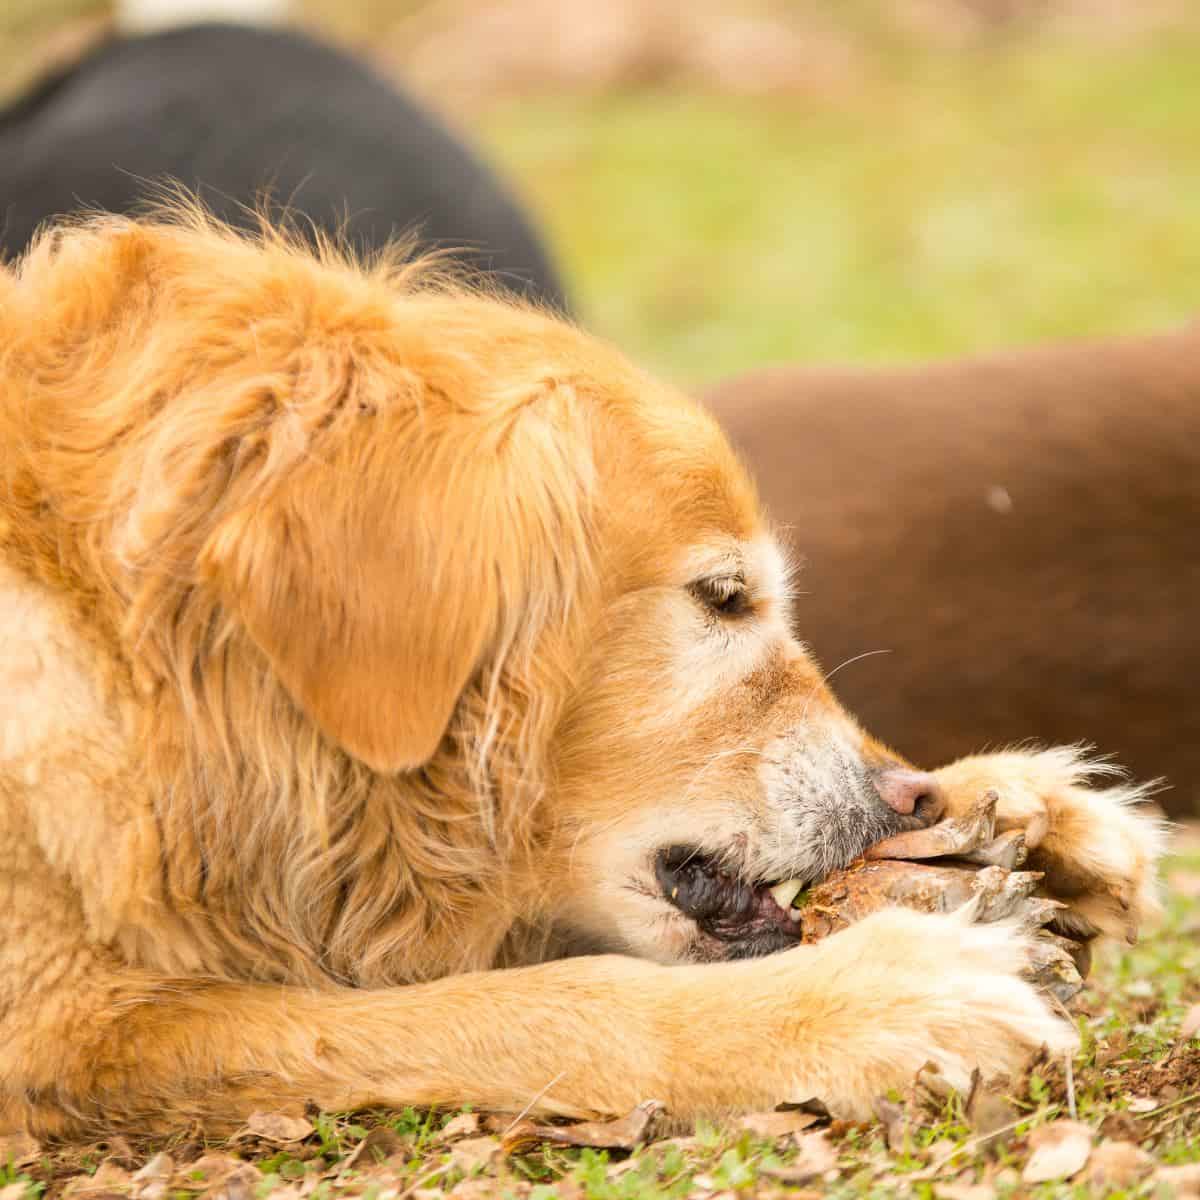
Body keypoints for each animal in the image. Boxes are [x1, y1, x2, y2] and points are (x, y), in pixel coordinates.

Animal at [0, 211, 1161, 1137]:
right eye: (724, 597)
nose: (904, 795)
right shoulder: (79, 1031)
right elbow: (531, 1004)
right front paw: (874, 1001)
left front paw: (1026, 813)